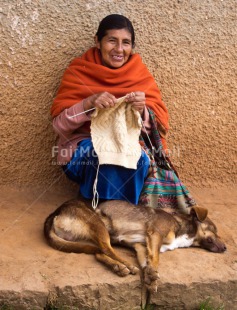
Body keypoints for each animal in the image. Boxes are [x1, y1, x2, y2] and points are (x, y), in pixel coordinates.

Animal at [43, 199, 227, 294]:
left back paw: (118, 267)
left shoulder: (140, 245)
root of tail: (54, 213)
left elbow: (147, 260)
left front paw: (150, 276)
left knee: (100, 253)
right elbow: (155, 258)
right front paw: (153, 276)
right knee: (106, 249)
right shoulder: (155, 234)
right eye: (215, 230)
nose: (226, 248)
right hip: (98, 224)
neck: (180, 225)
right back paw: (126, 265)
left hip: (87, 239)